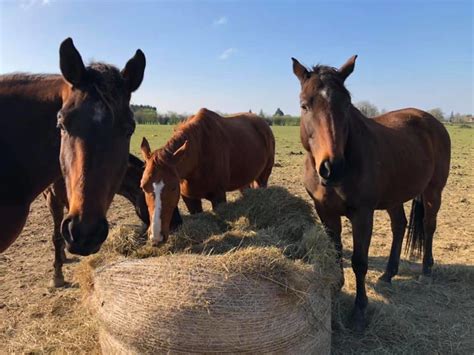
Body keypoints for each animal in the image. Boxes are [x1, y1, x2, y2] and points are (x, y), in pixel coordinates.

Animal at [139, 108, 276, 246]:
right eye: (143, 187)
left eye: (173, 187)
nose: (156, 237)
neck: (200, 154)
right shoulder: (190, 199)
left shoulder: (218, 197)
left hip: (263, 178)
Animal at [292, 55, 452, 330]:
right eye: (305, 106)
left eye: (347, 104)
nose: (332, 167)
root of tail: (432, 121)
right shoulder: (325, 212)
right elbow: (336, 253)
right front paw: (335, 289)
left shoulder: (363, 214)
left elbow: (359, 261)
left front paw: (359, 311)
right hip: (394, 196)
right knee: (399, 225)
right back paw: (388, 273)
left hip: (433, 191)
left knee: (429, 226)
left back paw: (426, 271)